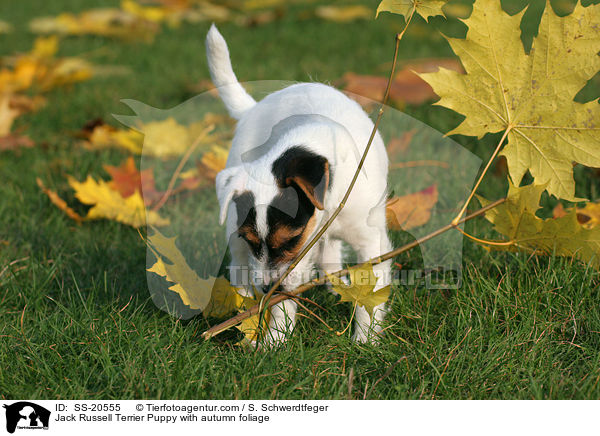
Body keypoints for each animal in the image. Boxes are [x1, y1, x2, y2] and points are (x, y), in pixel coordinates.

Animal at [206, 24, 394, 348]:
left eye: (291, 240)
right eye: (253, 241)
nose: (266, 286)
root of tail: (254, 108)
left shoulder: (368, 241)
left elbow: (368, 292)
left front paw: (365, 339)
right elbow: (283, 297)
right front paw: (275, 340)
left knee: (330, 258)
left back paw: (336, 288)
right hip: (233, 228)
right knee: (239, 269)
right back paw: (243, 311)